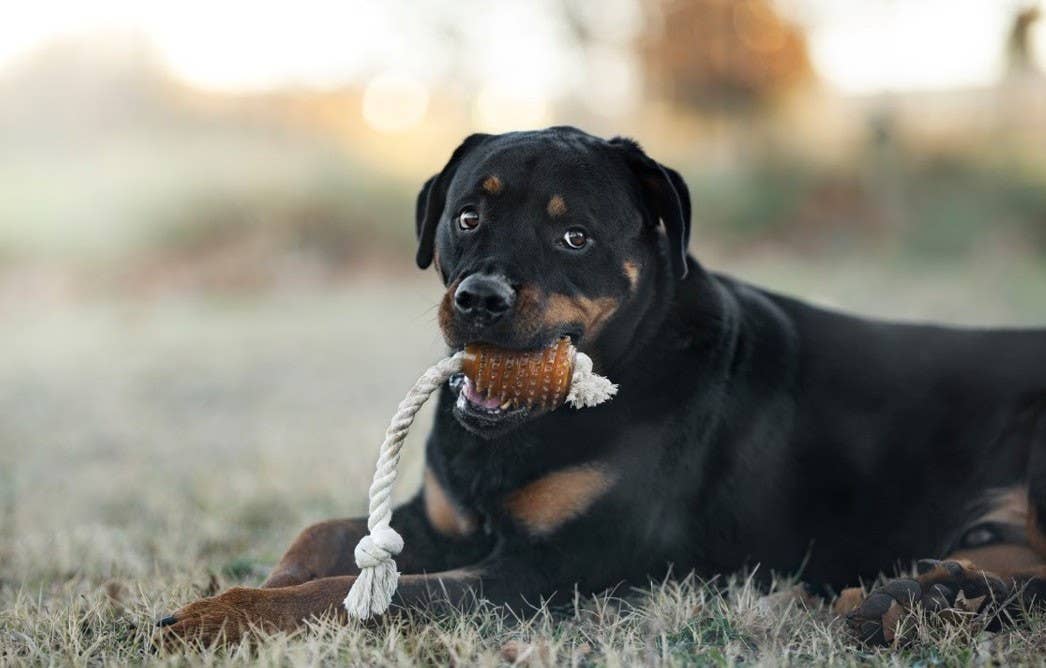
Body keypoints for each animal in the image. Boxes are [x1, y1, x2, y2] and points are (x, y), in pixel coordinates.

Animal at [156, 126, 1046, 648]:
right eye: (467, 217)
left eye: (574, 236)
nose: (480, 298)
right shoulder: (440, 520)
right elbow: (324, 537)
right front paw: (249, 585)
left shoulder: (547, 573)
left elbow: (361, 591)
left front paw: (227, 615)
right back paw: (916, 594)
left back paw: (920, 600)